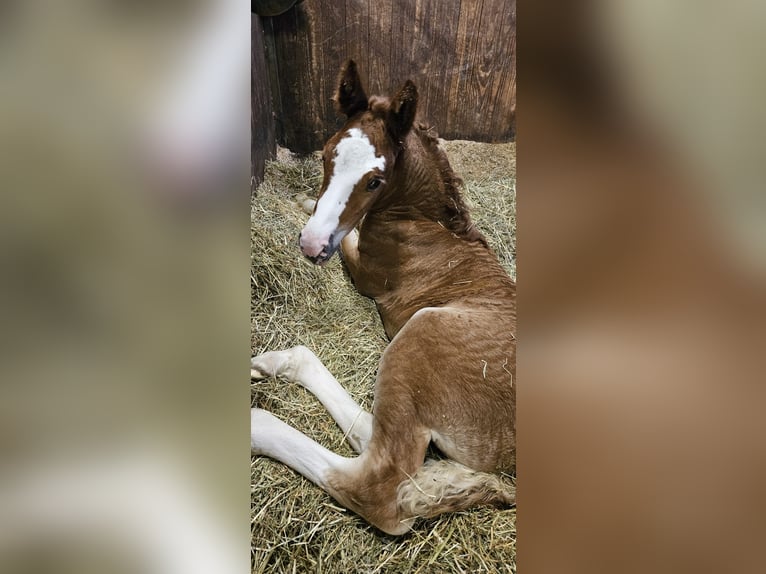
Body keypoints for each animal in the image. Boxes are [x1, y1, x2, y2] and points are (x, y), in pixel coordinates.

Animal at [252, 62, 516, 536]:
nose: (311, 246)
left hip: (421, 332)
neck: (422, 221)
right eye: (325, 155)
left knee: (376, 483)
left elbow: (347, 236)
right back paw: (274, 363)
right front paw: (304, 199)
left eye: (375, 180)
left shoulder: (363, 266)